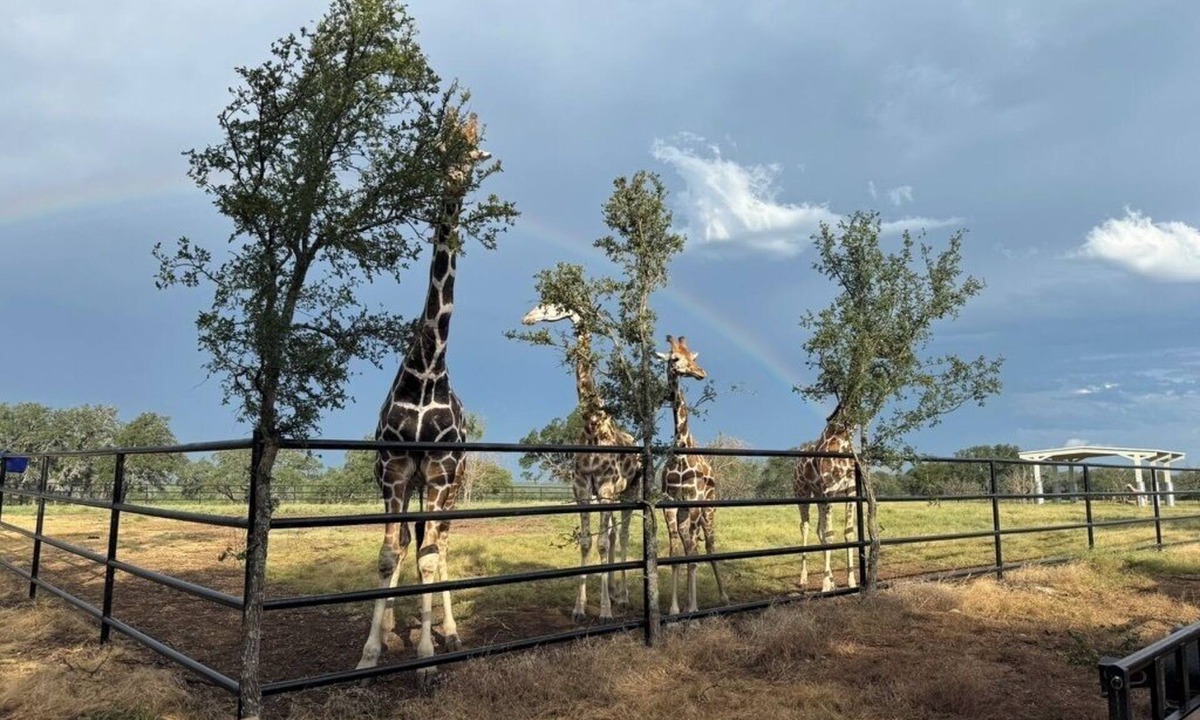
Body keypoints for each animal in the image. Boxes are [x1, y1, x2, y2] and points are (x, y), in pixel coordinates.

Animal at [521, 304, 642, 621]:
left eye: (550, 304)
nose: (527, 318)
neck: (592, 425)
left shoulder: (608, 486)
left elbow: (602, 542)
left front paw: (605, 612)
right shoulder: (583, 487)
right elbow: (588, 541)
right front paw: (579, 609)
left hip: (630, 491)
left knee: (622, 535)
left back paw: (623, 597)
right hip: (610, 496)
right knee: (612, 534)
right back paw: (613, 591)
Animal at [657, 335, 729, 615]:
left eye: (693, 357)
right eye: (675, 358)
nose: (701, 372)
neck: (681, 451)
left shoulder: (694, 500)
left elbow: (694, 555)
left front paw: (693, 608)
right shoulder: (670, 505)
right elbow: (676, 554)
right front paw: (675, 609)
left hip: (708, 508)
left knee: (708, 545)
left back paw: (723, 597)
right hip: (686, 514)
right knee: (690, 545)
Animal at [793, 403, 859, 592]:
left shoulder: (850, 490)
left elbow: (848, 533)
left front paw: (851, 581)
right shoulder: (829, 490)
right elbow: (830, 535)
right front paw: (824, 585)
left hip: (818, 495)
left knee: (819, 528)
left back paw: (832, 579)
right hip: (802, 492)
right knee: (805, 526)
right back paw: (803, 579)